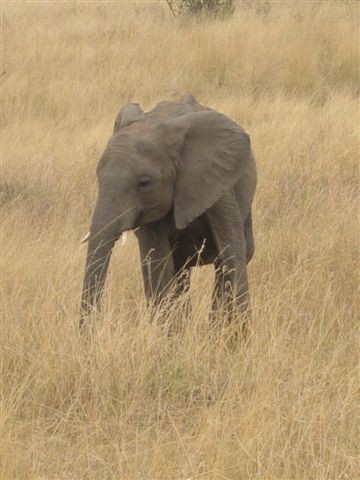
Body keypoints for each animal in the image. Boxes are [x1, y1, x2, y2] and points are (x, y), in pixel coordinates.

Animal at [81, 94, 256, 326]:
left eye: (144, 183)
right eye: (98, 177)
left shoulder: (219, 185)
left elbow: (231, 256)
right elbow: (157, 265)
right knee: (180, 273)